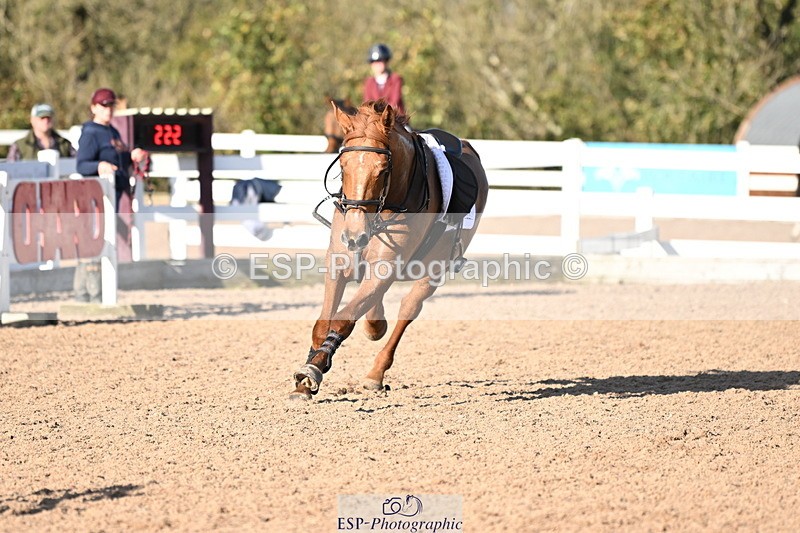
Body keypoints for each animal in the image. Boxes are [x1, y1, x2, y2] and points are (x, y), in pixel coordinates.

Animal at [290, 100, 489, 400]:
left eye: (383, 170)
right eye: (343, 167)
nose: (354, 236)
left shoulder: (385, 268)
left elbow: (342, 320)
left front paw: (314, 369)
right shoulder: (339, 262)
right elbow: (322, 325)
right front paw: (306, 378)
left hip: (433, 273)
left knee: (408, 309)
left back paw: (376, 373)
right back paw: (374, 323)